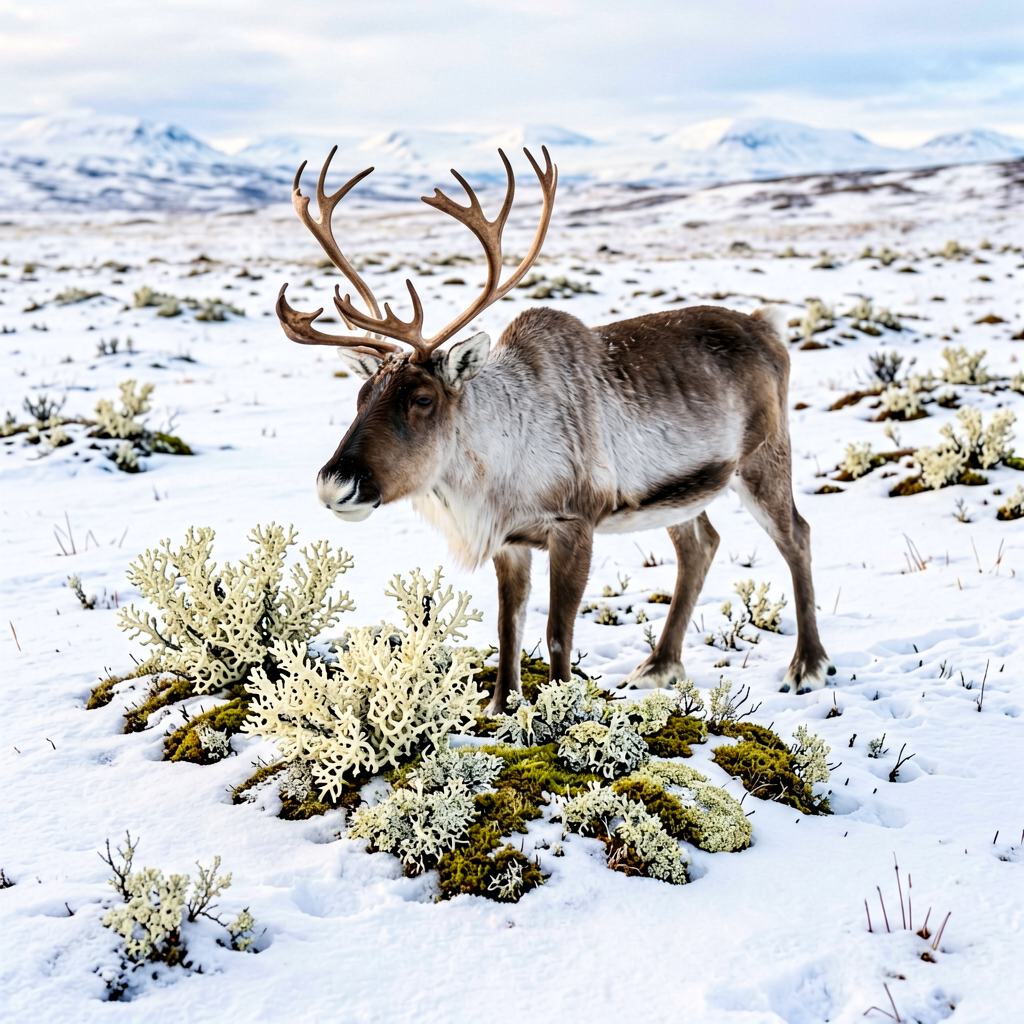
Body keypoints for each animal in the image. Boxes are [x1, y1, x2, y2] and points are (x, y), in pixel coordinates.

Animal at [276, 145, 833, 714]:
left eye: (423, 399)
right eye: (362, 395)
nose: (335, 484)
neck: (499, 463)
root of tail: (767, 326)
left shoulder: (574, 525)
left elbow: (558, 634)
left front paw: (564, 709)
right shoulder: (510, 542)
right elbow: (508, 630)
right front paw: (502, 709)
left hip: (764, 458)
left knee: (797, 536)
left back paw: (807, 666)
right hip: (681, 491)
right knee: (699, 545)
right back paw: (659, 665)